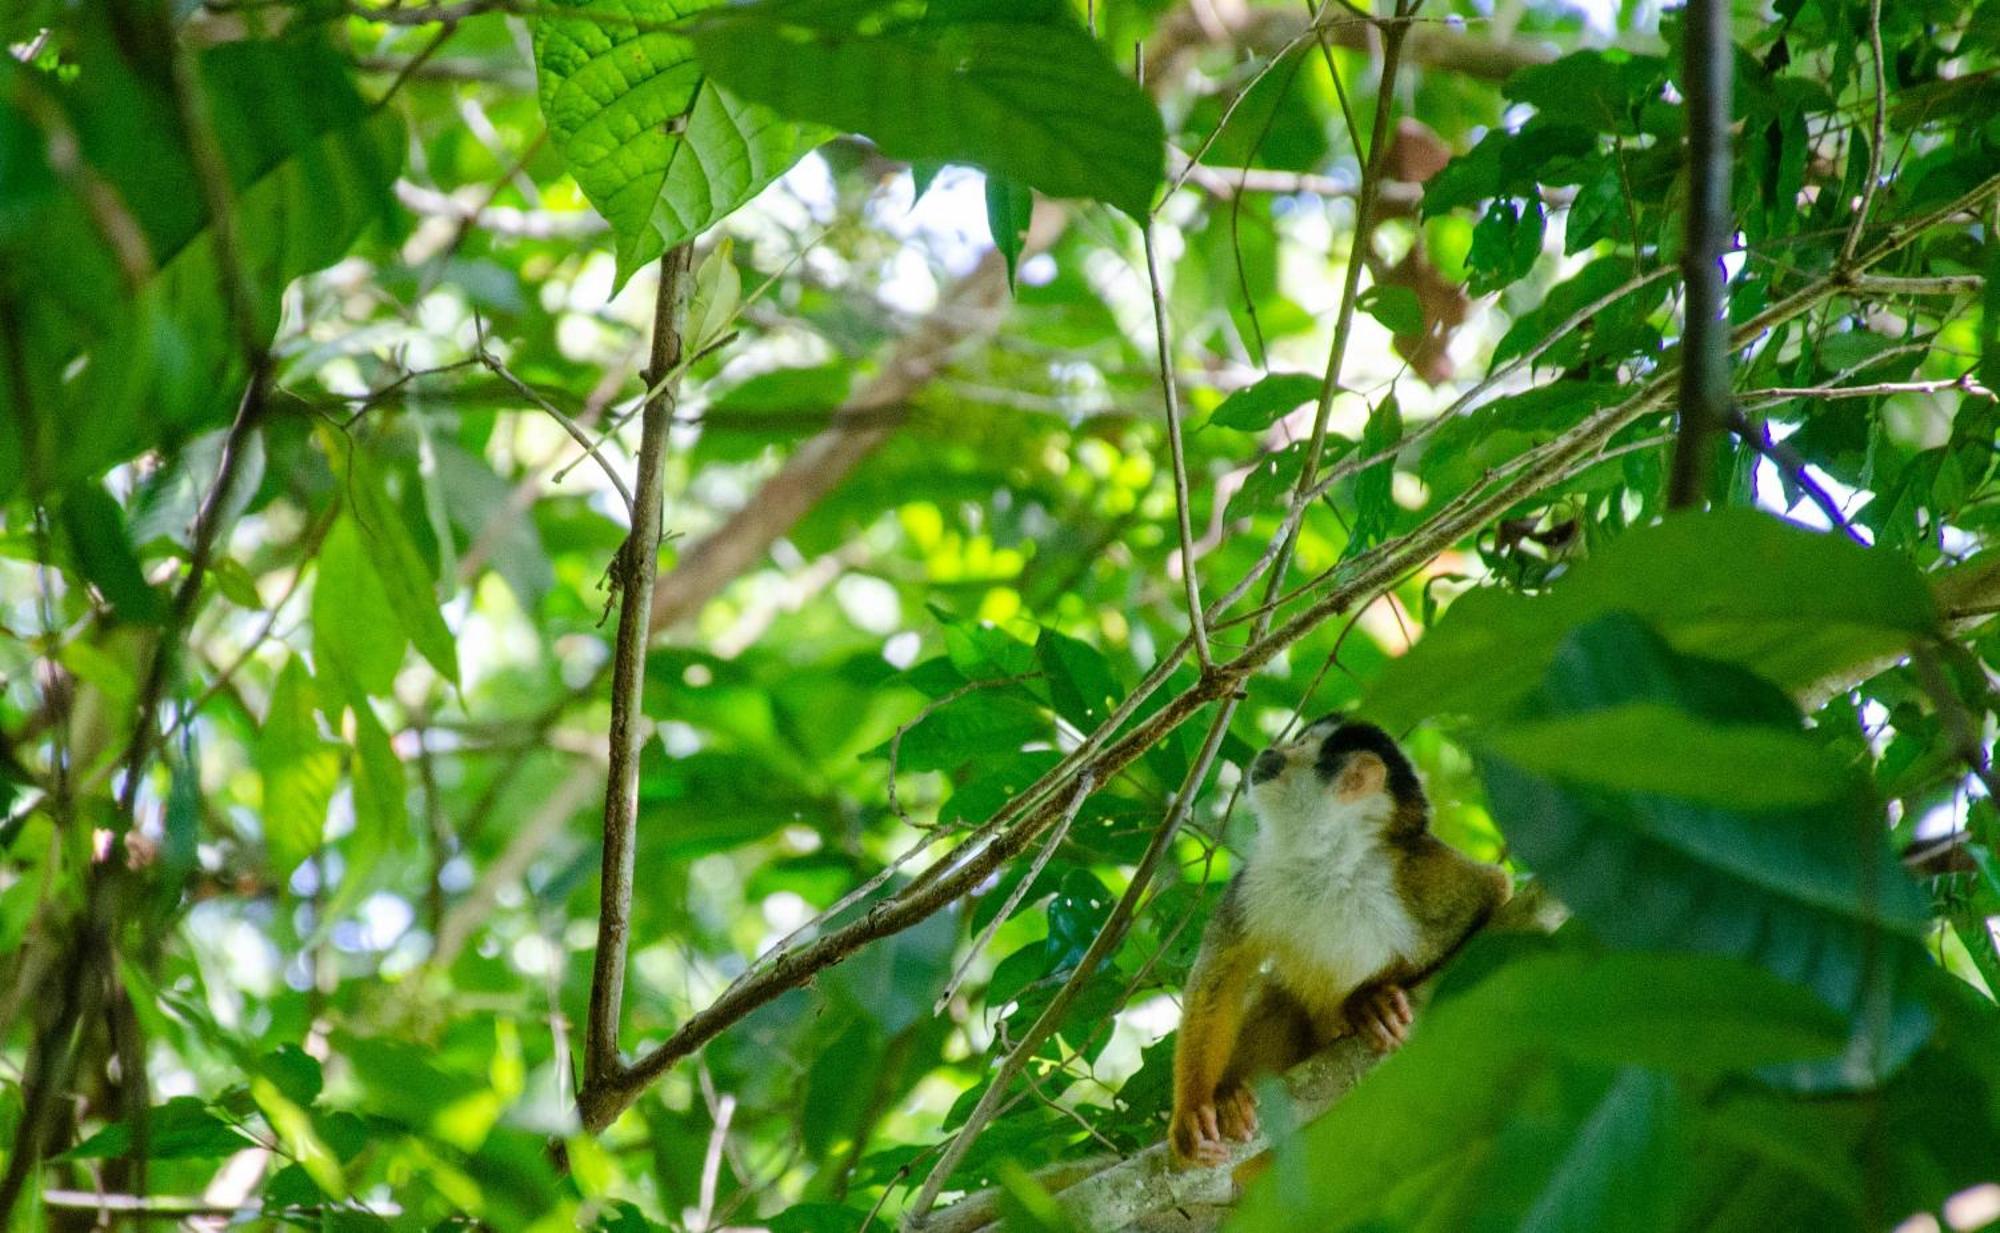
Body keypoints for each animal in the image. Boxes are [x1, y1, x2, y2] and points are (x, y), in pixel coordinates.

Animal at [1168, 716, 1504, 1160]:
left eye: (1301, 746)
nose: (1271, 751)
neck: (1328, 857)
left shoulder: (1412, 869)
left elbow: (1492, 894)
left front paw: (1370, 1001)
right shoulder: (1254, 880)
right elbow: (1218, 979)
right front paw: (1194, 1110)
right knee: (1281, 995)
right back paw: (1231, 1101)